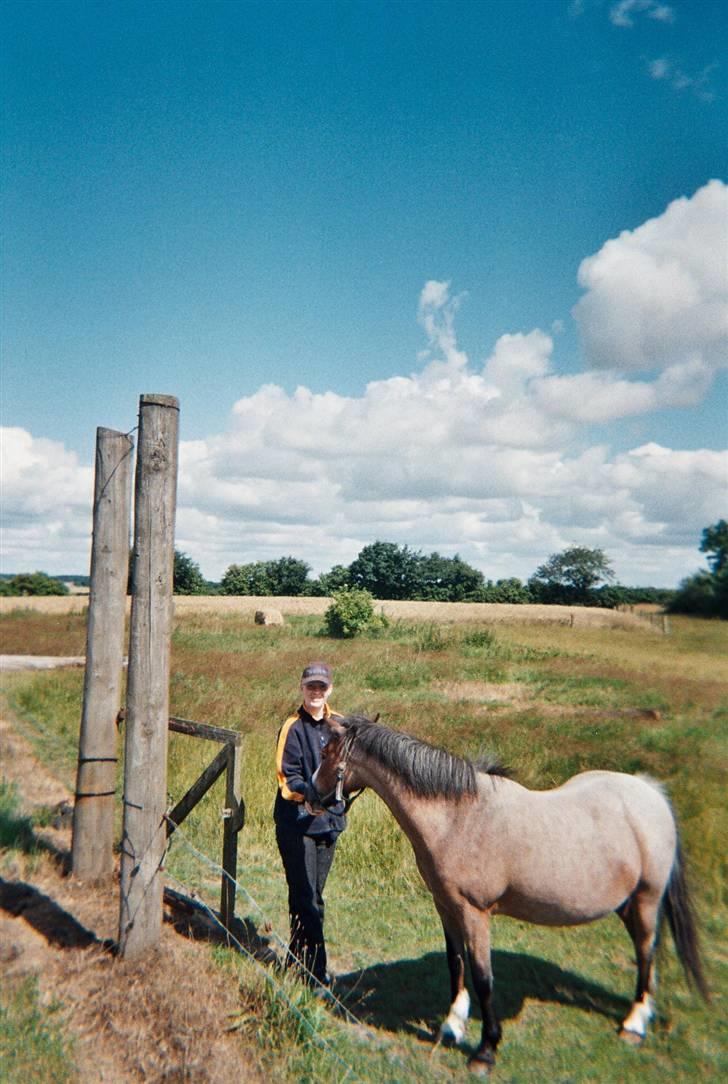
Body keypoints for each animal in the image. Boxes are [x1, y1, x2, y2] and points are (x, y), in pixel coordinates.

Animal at [310, 714, 708, 1073]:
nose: (311, 794)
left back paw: (634, 1024)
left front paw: (485, 1050)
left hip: (647, 899)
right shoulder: (446, 907)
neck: (457, 817)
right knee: (646, 953)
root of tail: (650, 791)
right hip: (627, 903)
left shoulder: (475, 913)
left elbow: (483, 979)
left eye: (327, 751)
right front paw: (451, 1026)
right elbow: (455, 964)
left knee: (646, 952)